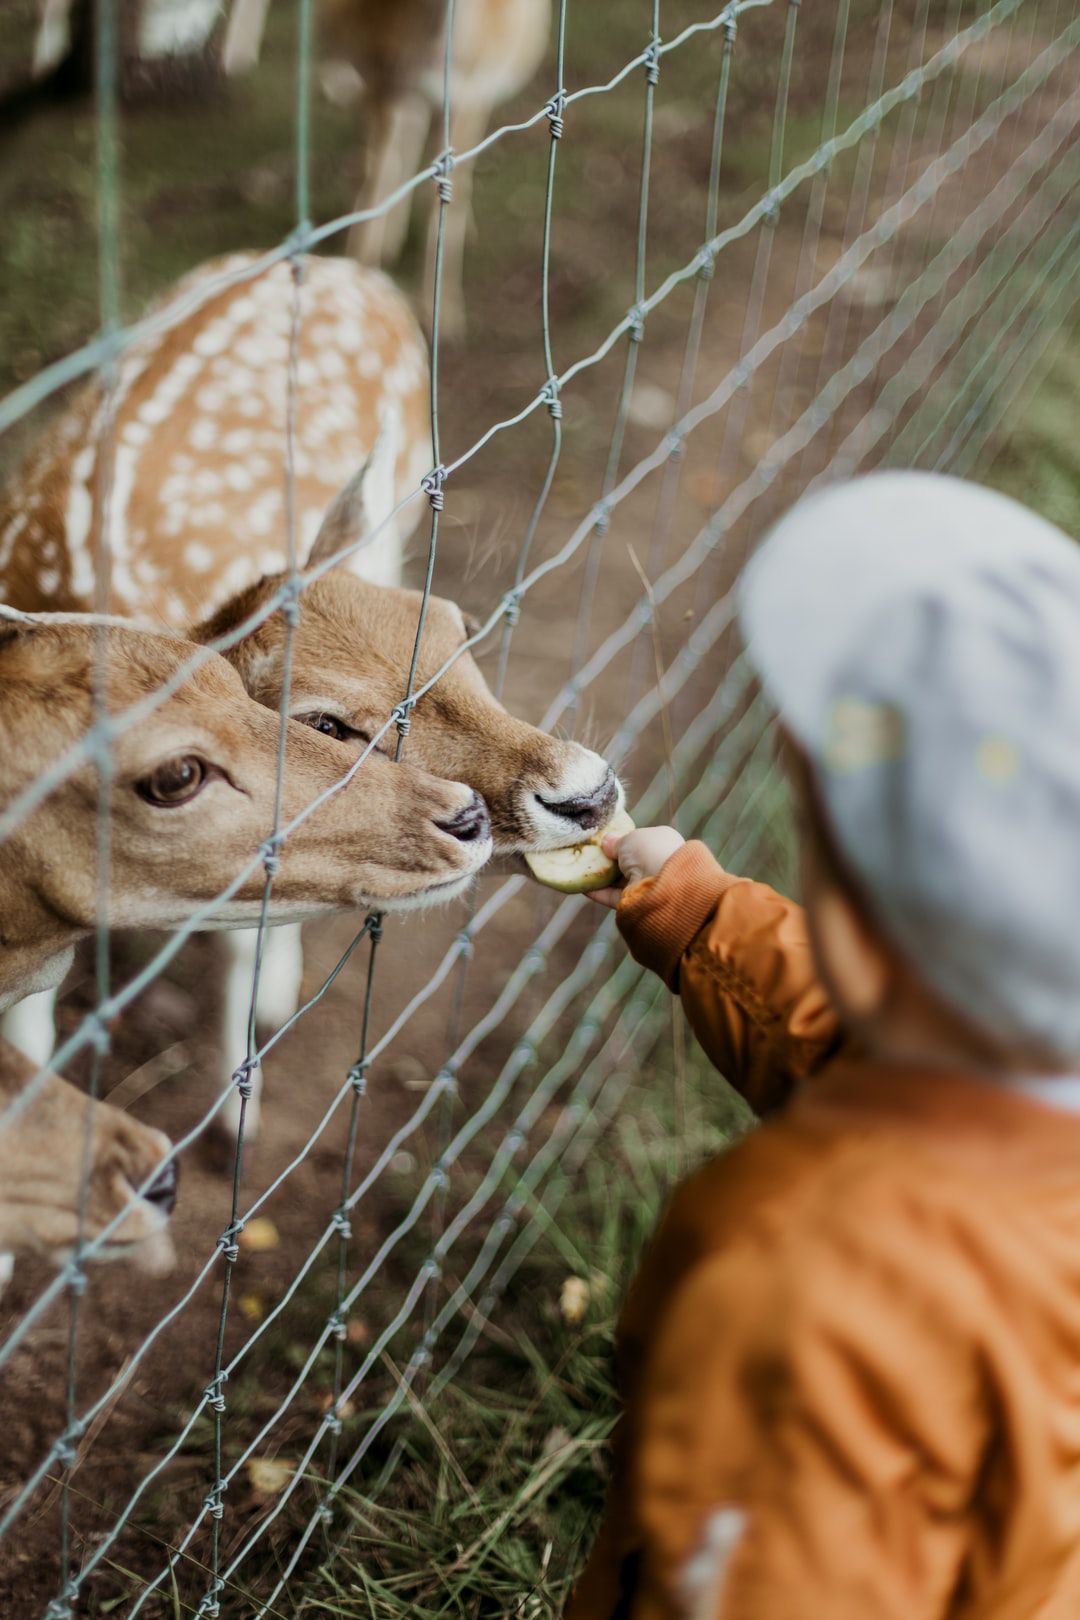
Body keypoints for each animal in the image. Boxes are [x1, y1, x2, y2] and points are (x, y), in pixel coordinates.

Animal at [223, 0, 553, 335]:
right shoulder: (386, 82)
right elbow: (377, 175)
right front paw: (361, 274)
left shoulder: (469, 93)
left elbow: (448, 188)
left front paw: (443, 314)